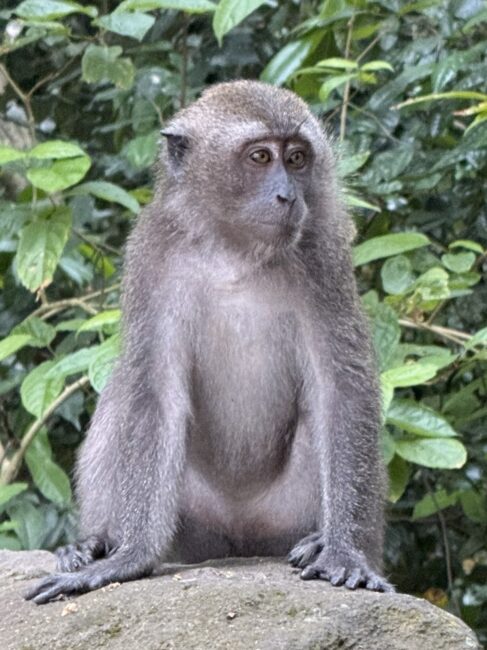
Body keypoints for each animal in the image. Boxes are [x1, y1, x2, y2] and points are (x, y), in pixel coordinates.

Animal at [25, 80, 393, 604]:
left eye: (297, 158)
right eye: (260, 157)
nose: (288, 196)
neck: (234, 250)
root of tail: (241, 541)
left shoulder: (324, 257)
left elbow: (341, 388)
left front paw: (344, 551)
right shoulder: (152, 255)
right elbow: (155, 390)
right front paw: (128, 558)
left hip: (281, 516)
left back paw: (317, 540)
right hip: (190, 527)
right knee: (122, 391)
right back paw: (94, 542)